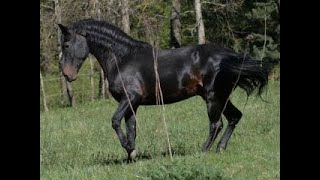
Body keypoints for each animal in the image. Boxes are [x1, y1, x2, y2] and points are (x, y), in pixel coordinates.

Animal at [58, 19, 268, 161]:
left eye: (66, 44)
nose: (67, 75)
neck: (123, 59)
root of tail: (229, 55)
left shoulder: (129, 98)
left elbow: (115, 121)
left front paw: (129, 148)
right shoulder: (132, 104)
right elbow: (131, 129)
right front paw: (131, 155)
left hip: (213, 98)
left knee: (216, 124)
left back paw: (203, 150)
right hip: (222, 97)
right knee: (235, 117)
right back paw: (220, 149)